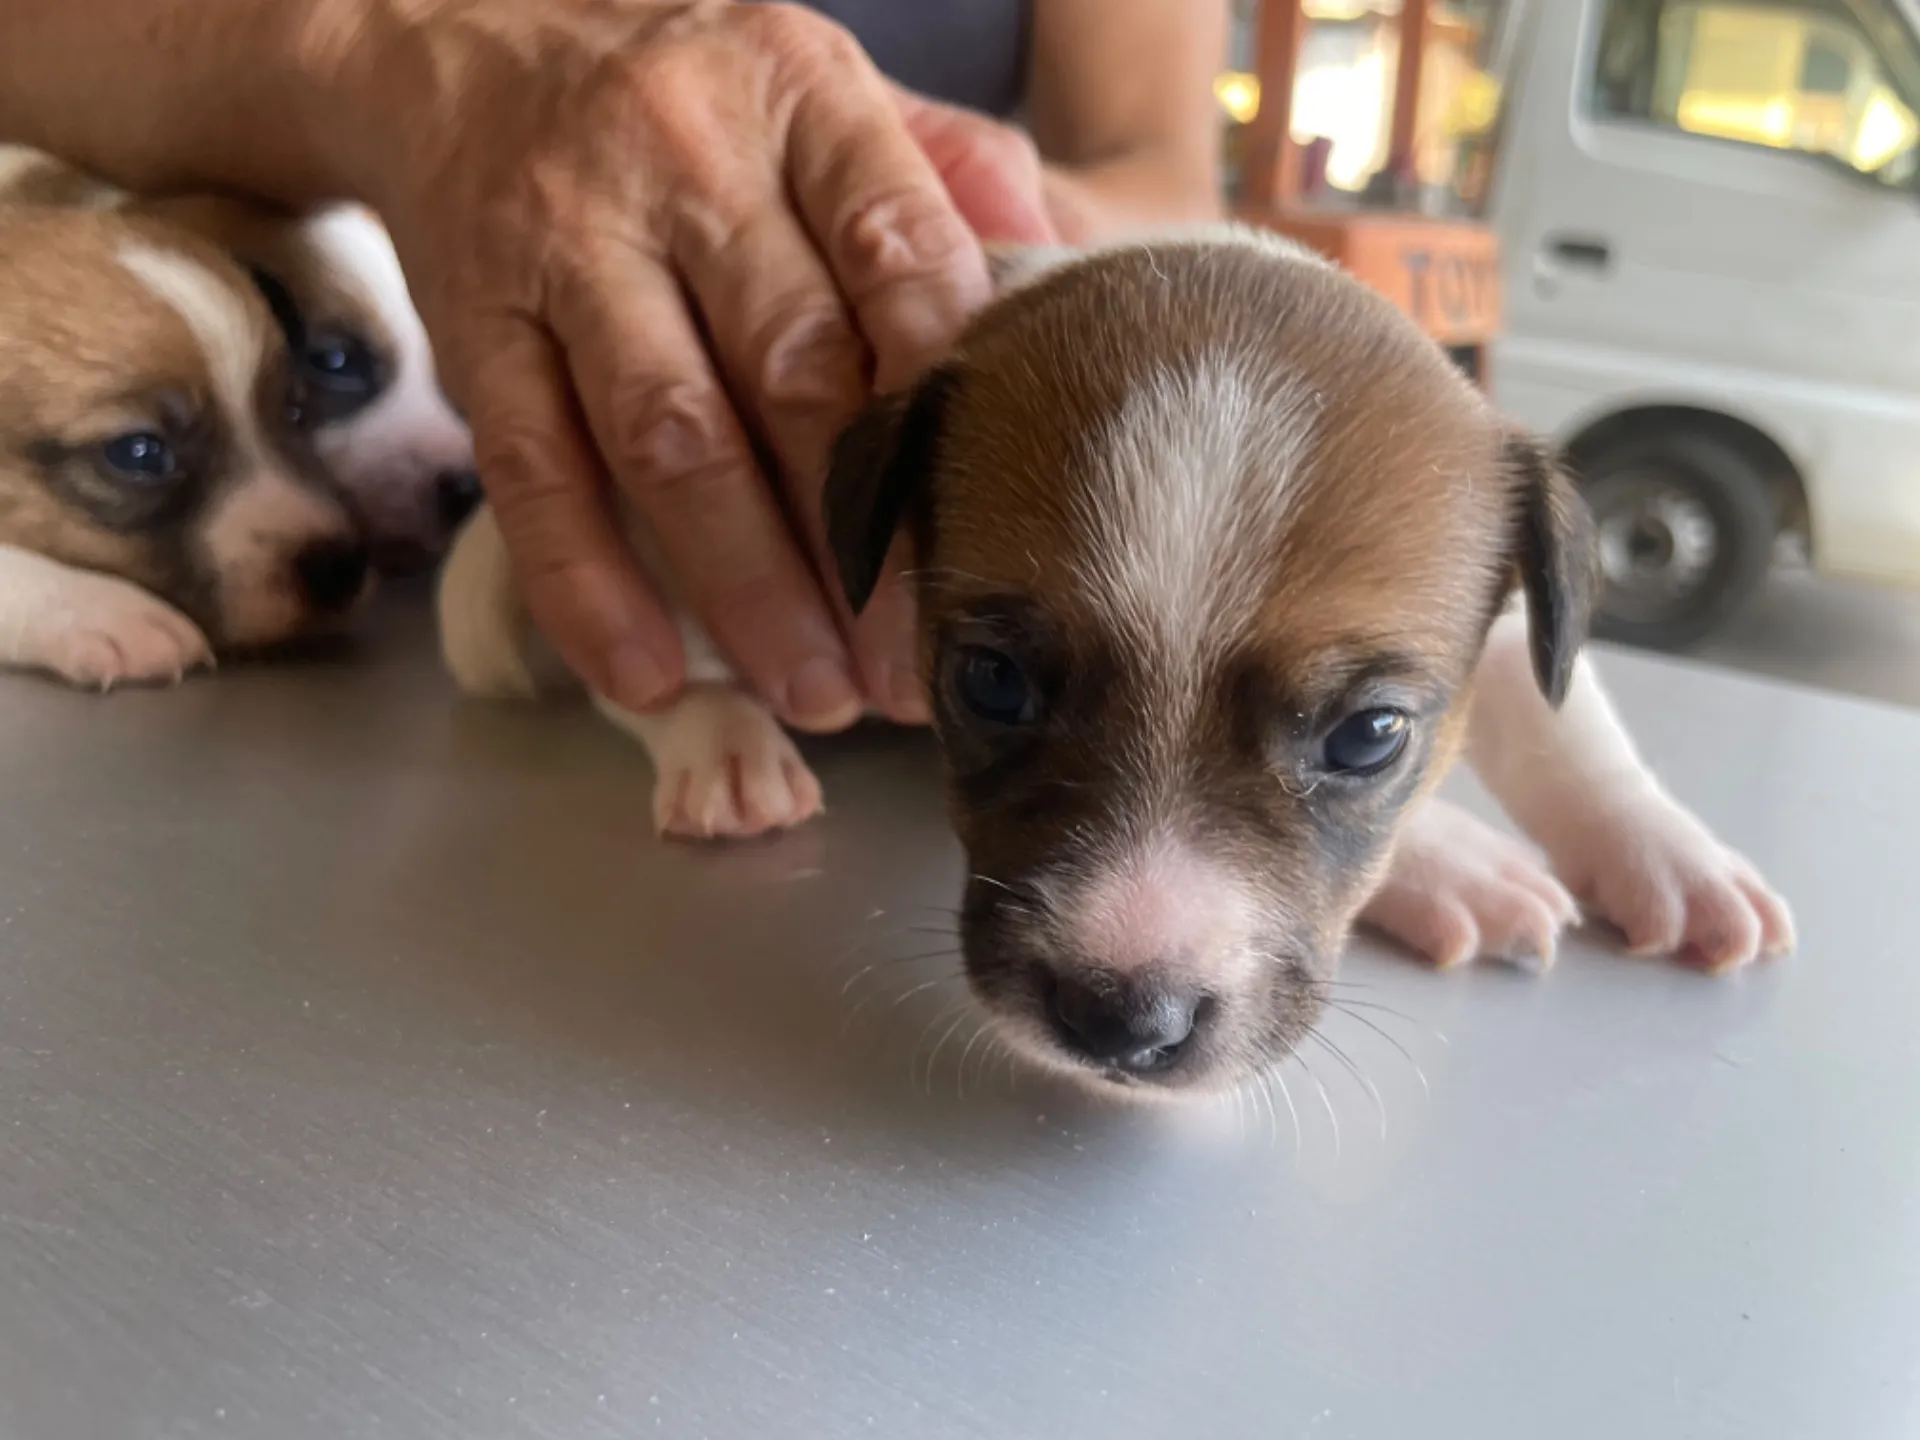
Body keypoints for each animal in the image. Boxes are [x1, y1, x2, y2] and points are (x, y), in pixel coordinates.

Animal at [441, 228, 1789, 1090]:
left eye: (1368, 737)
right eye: (991, 683)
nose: (1122, 1022)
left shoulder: (1505, 633)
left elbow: (1572, 734)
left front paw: (1666, 857)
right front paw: (1454, 857)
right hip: (672, 538)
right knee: (639, 668)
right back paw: (722, 742)